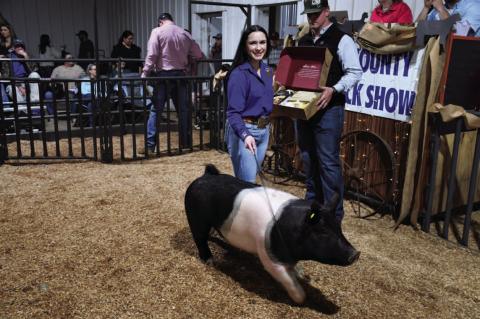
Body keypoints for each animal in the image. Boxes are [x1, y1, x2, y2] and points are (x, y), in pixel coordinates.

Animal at [186, 165, 358, 304]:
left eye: (338, 227)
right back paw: (210, 261)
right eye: (322, 231)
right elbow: (284, 276)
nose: (356, 254)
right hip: (196, 218)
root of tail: (204, 176)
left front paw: (302, 274)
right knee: (199, 238)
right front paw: (301, 299)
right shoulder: (268, 253)